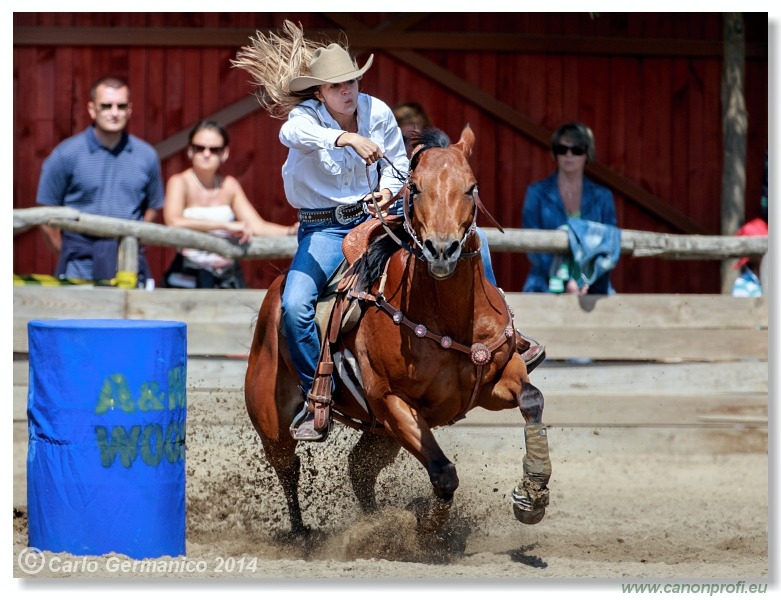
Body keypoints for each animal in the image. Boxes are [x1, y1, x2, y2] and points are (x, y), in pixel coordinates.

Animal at [244, 125, 548, 536]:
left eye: (471, 187)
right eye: (415, 187)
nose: (441, 249)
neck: (448, 316)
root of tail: (271, 302)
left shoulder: (496, 380)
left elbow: (532, 399)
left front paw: (532, 494)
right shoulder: (392, 403)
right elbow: (443, 473)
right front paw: (428, 528)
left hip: (378, 434)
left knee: (359, 469)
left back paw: (370, 522)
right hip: (273, 424)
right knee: (289, 472)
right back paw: (302, 534)